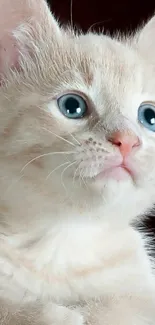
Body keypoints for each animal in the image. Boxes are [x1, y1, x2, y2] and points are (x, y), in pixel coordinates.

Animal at [0, 0, 155, 322]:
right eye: (73, 106)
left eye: (149, 116)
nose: (127, 140)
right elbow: (10, 308)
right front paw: (53, 314)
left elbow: (123, 307)